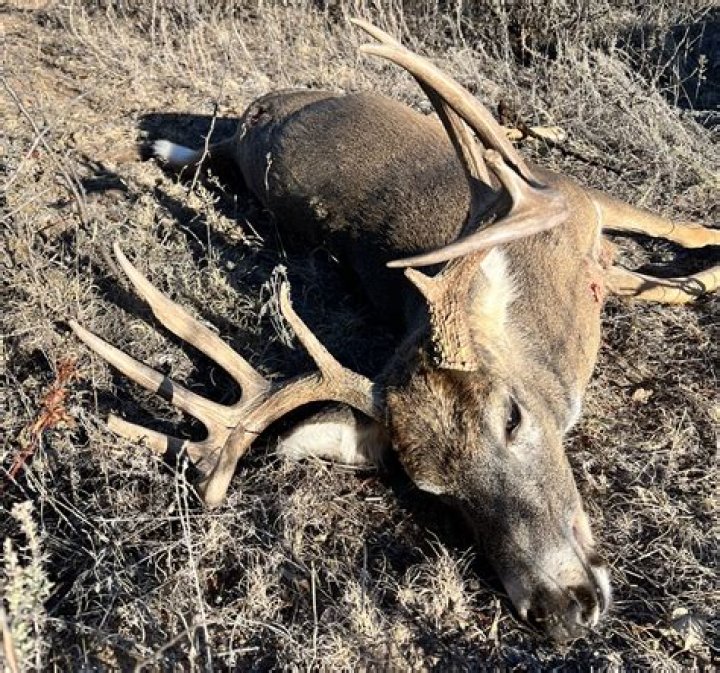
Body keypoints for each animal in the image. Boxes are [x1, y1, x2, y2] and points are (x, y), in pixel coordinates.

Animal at [69, 19, 719, 641]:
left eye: (512, 417)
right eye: (434, 490)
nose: (559, 610)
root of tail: (263, 110)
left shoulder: (572, 192)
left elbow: (684, 233)